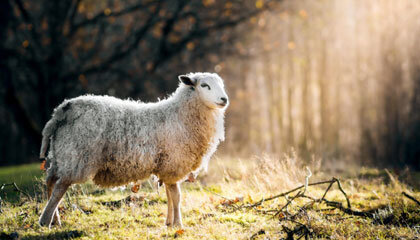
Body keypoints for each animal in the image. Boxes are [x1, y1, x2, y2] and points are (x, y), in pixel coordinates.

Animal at [38, 72, 230, 229]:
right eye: (204, 85)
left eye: (222, 84)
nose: (224, 99)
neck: (180, 115)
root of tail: (61, 111)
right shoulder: (173, 163)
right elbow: (176, 196)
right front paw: (178, 224)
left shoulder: (166, 167)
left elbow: (169, 195)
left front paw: (169, 223)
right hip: (77, 155)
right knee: (60, 187)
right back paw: (45, 221)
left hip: (62, 154)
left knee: (50, 182)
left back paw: (55, 220)